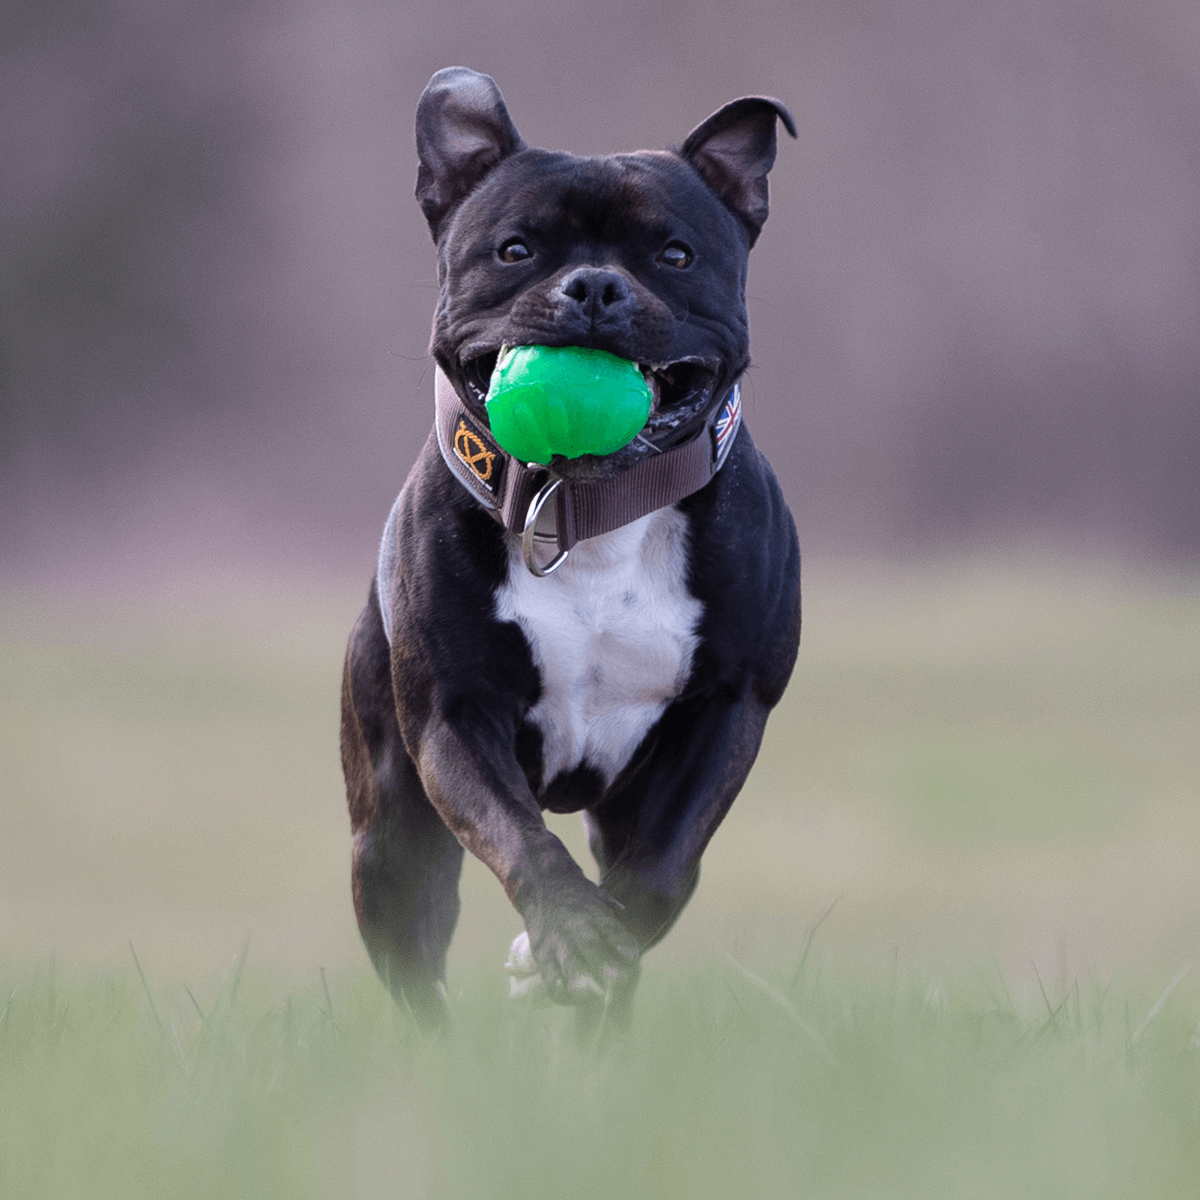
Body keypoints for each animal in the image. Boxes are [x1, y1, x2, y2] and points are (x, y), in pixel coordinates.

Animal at [338, 70, 801, 1036]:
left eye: (675, 255)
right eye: (514, 250)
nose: (593, 286)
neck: (587, 510)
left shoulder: (725, 712)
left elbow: (660, 873)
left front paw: (590, 950)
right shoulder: (453, 718)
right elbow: (520, 835)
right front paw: (569, 932)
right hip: (389, 835)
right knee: (413, 953)